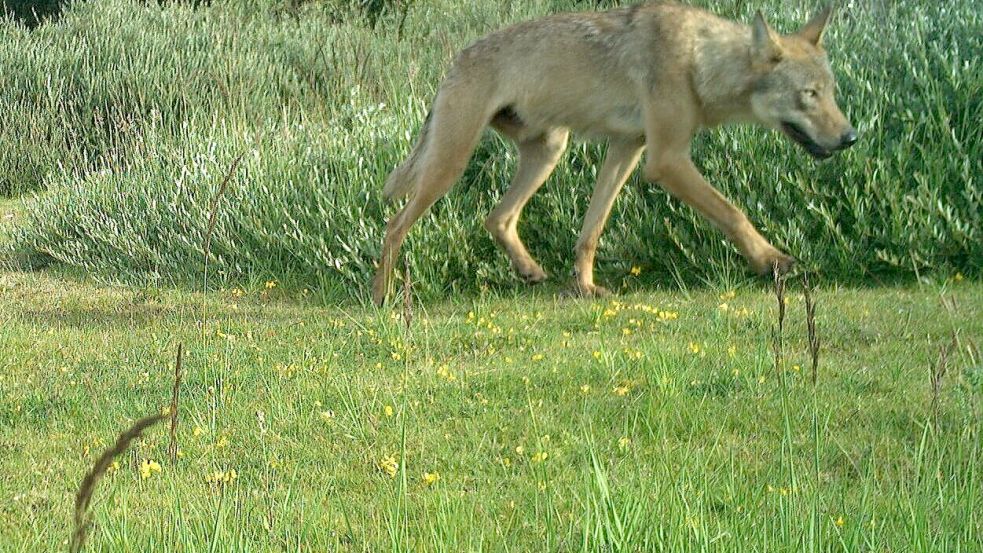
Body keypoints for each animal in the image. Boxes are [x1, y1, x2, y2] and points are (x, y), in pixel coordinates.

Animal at [368, 2, 852, 304]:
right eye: (808, 95)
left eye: (830, 92)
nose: (850, 138)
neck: (699, 60)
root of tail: (454, 60)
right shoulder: (666, 160)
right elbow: (733, 213)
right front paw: (773, 262)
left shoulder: (627, 147)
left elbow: (591, 229)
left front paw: (584, 288)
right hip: (450, 165)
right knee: (394, 226)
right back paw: (381, 298)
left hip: (549, 151)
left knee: (497, 217)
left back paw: (530, 271)